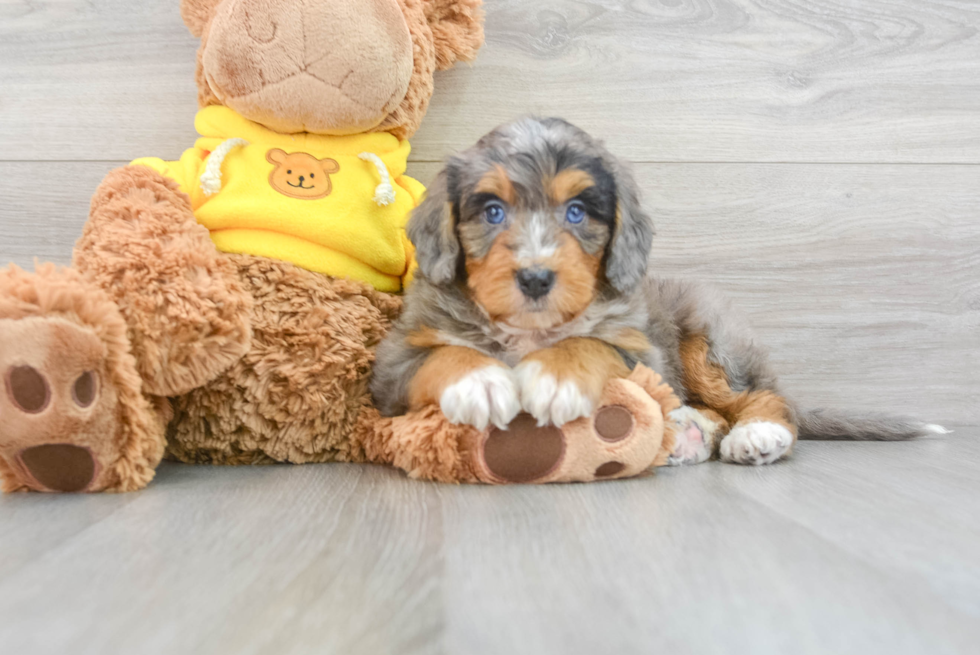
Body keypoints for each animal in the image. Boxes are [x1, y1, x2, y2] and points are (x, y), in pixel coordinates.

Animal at [372, 119, 944, 466]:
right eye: (492, 210)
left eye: (576, 212)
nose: (535, 279)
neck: (532, 330)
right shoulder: (393, 362)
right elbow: (442, 355)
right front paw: (481, 383)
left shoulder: (638, 348)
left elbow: (590, 343)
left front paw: (557, 379)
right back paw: (689, 433)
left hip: (707, 343)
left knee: (762, 397)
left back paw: (758, 434)